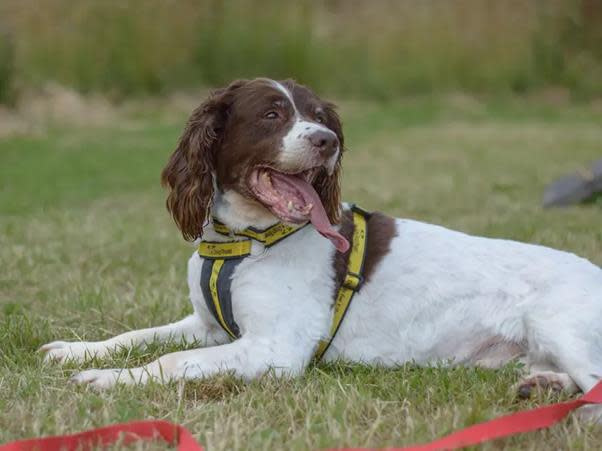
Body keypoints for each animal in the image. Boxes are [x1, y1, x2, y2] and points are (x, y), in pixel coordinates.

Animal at [39, 78, 600, 416]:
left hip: (557, 324)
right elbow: (137, 335)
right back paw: (546, 389)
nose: (327, 141)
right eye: (271, 114)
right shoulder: (208, 326)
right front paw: (77, 350)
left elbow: (170, 361)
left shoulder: (275, 349)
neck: (244, 242)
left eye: (320, 116)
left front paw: (107, 379)